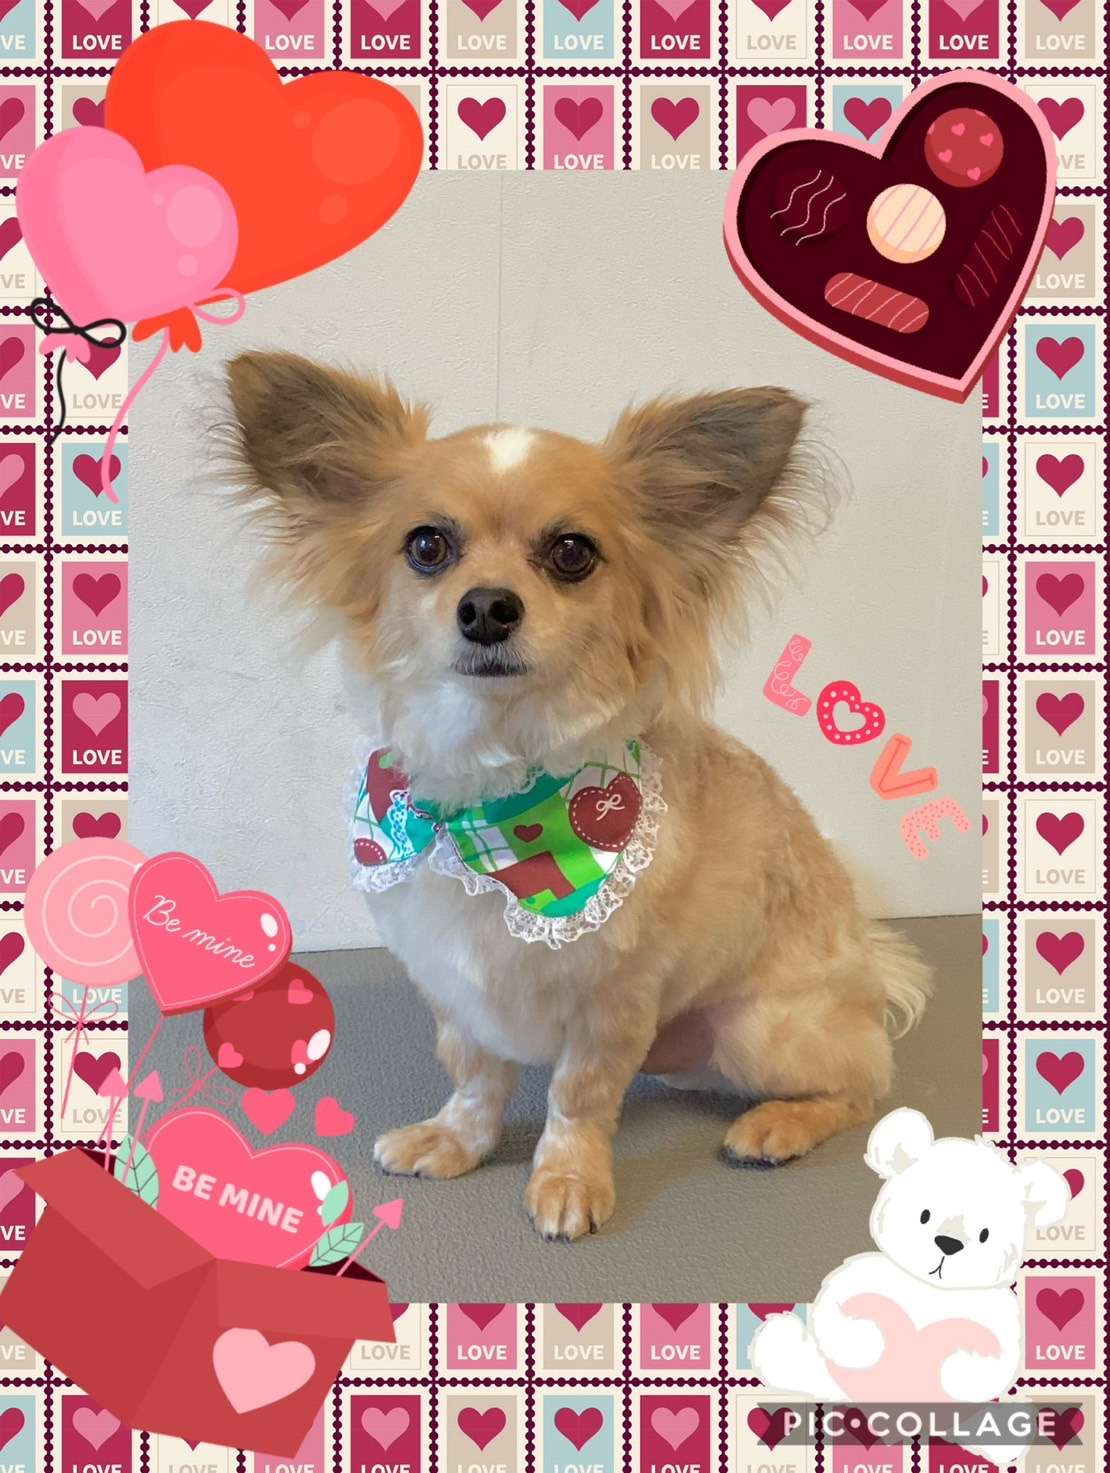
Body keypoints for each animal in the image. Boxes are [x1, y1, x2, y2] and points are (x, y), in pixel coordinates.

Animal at [226, 350, 932, 1241]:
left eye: (571, 551)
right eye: (427, 545)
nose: (487, 606)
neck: (490, 804)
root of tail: (871, 967)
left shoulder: (614, 1003)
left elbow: (578, 1097)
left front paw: (566, 1178)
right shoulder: (453, 987)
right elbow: (474, 1074)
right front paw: (457, 1140)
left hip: (758, 1028)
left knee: (863, 1084)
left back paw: (778, 1123)